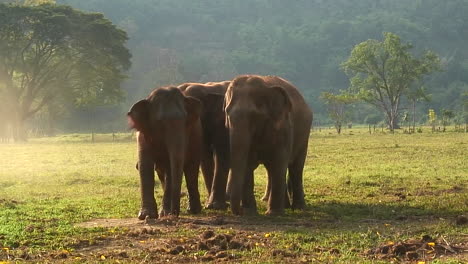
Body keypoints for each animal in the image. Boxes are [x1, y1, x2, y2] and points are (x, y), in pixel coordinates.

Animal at [128, 86, 203, 219]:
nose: (175, 213)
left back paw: (194, 210)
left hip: (197, 139)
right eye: (160, 121)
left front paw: (164, 214)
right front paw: (146, 215)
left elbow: (170, 168)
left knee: (191, 170)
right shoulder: (142, 135)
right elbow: (145, 166)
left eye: (185, 120)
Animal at [224, 75, 312, 216]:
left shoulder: (284, 126)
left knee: (296, 168)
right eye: (227, 114)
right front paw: (250, 212)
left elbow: (279, 161)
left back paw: (299, 208)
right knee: (272, 169)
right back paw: (286, 206)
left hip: (304, 135)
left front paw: (274, 214)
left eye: (254, 116)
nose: (239, 212)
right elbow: (248, 163)